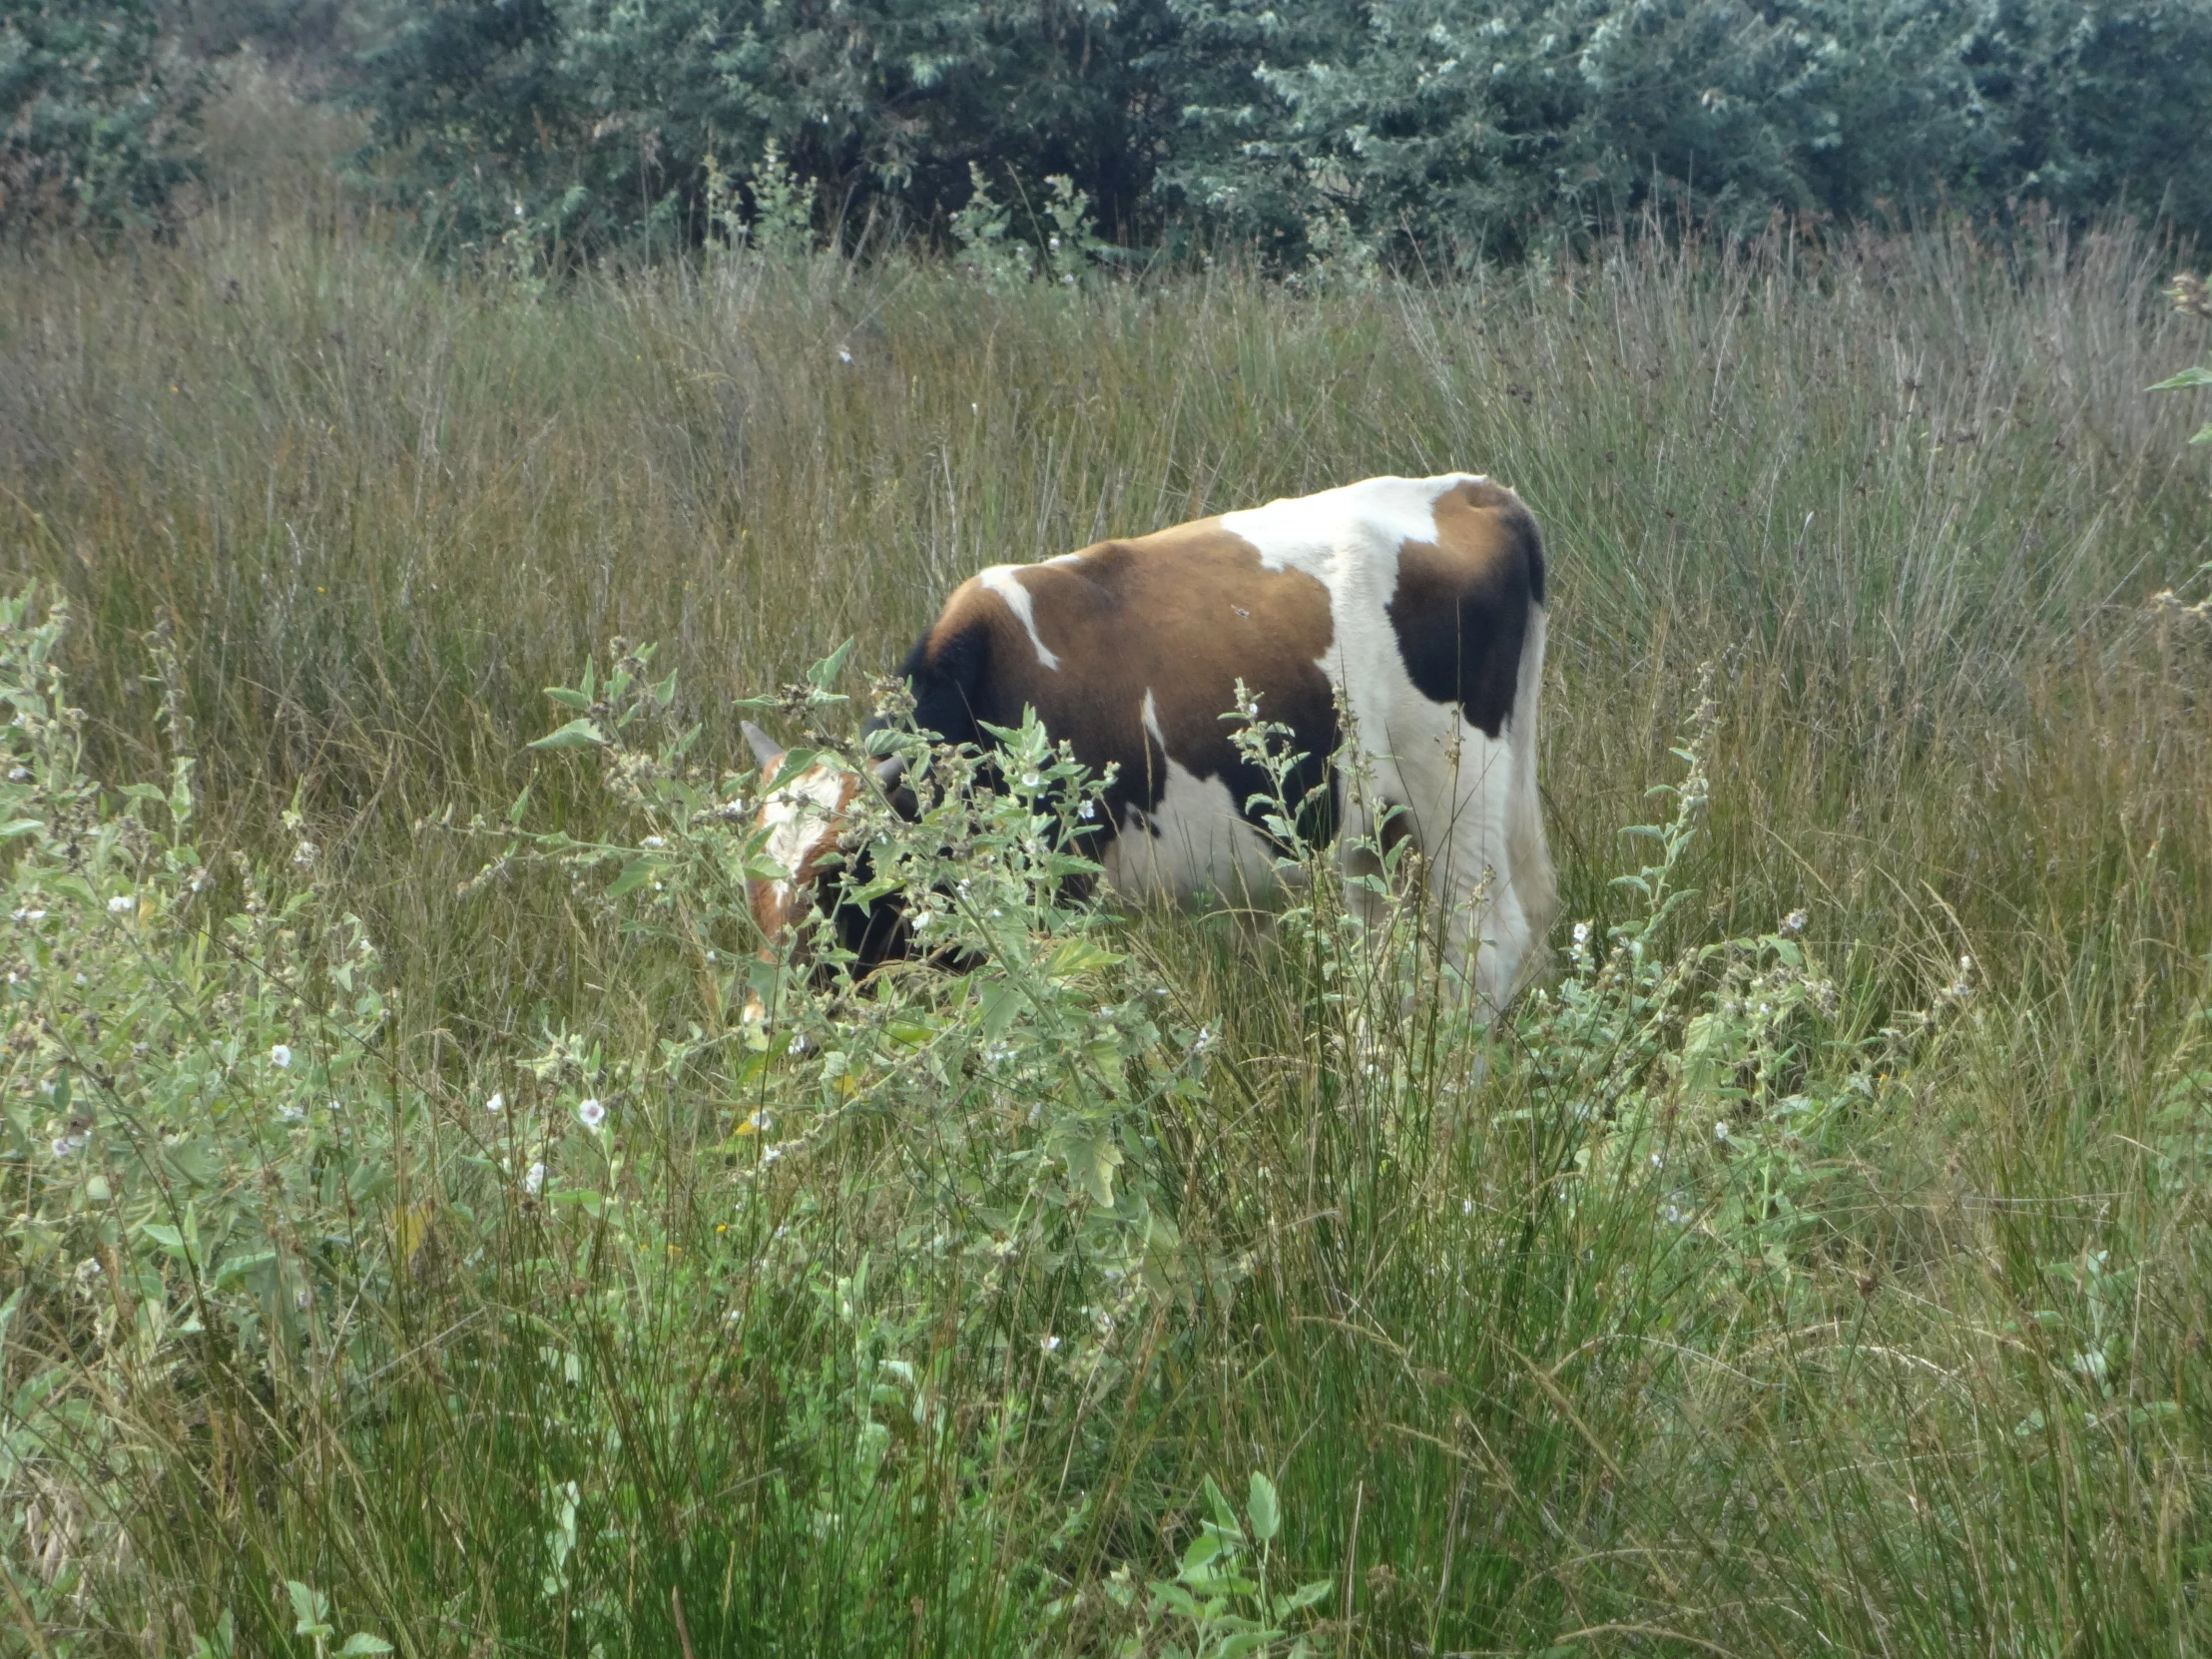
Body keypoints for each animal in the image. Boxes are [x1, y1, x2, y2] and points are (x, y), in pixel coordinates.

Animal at [743, 473, 1557, 1021]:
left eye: (834, 880)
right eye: (750, 888)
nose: (767, 1022)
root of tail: (1473, 491)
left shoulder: (1059, 899)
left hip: (1458, 795)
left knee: (1485, 948)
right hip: (1371, 835)